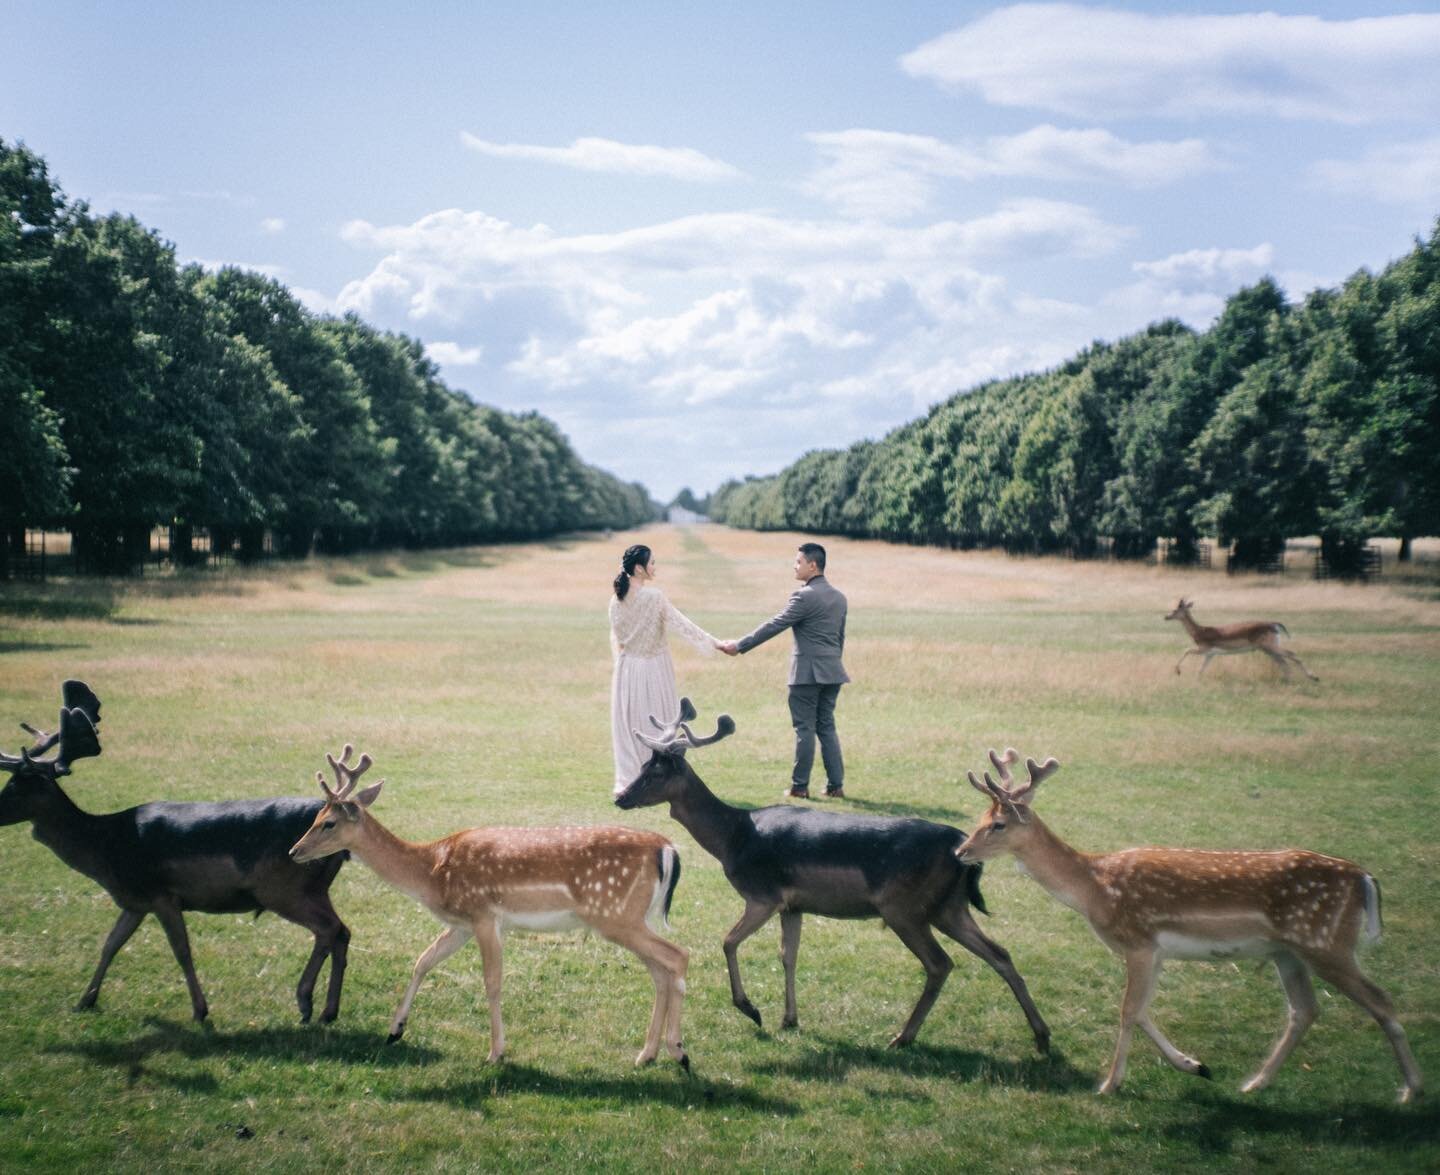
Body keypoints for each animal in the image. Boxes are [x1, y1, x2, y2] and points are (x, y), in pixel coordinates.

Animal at [0, 682, 351, 1025]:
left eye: (17, 784)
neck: (107, 850)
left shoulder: (163, 895)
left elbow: (181, 950)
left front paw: (200, 1010)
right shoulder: (134, 902)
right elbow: (110, 944)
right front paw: (85, 1000)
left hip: (281, 888)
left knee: (328, 929)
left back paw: (305, 1001)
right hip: (314, 888)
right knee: (342, 931)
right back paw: (328, 1011)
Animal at [288, 748, 691, 1071]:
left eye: (328, 822)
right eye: (316, 817)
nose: (294, 851)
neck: (431, 872)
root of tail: (668, 848)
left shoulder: (483, 915)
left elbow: (492, 982)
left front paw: (496, 1052)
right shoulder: (461, 924)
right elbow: (423, 961)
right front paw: (395, 1029)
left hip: (615, 914)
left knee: (678, 956)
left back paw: (678, 1050)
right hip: (630, 917)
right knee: (660, 971)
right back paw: (648, 1054)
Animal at [613, 696, 1054, 1054]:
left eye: (656, 771)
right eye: (643, 764)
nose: (620, 797)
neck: (733, 838)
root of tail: (963, 848)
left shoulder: (763, 894)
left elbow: (728, 941)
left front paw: (751, 1009)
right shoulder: (794, 905)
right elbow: (788, 956)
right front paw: (790, 1018)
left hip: (904, 908)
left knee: (940, 963)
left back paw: (902, 1036)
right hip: (950, 907)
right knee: (999, 953)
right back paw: (1042, 1036)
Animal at [961, 754, 1422, 1100]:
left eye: (998, 824)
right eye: (980, 816)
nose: (961, 850)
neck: (1095, 888)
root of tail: (1365, 878)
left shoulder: (1140, 941)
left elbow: (1128, 1010)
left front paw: (1109, 1084)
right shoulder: (1156, 952)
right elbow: (1142, 1011)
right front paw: (1195, 1065)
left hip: (1326, 942)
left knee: (1380, 1001)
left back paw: (1410, 1089)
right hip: (1288, 952)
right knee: (1304, 1009)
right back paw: (1255, 1082)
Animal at [1169, 596, 1319, 679]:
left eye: (1176, 610)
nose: (1167, 616)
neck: (1199, 632)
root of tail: (1274, 624)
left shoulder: (1204, 648)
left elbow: (1186, 650)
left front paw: (1178, 671)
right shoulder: (1210, 653)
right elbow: (1201, 668)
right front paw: (1196, 680)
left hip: (1269, 645)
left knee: (1291, 654)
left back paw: (1313, 677)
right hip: (1268, 648)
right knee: (1282, 661)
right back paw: (1288, 680)